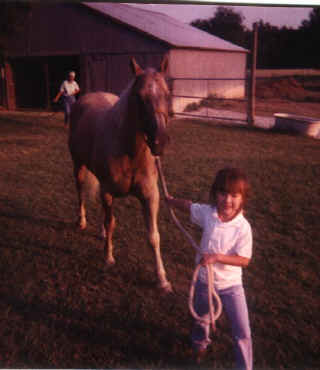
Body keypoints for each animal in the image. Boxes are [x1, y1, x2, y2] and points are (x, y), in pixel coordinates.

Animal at [68, 57, 172, 292]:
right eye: (139, 96)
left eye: (167, 93)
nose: (160, 142)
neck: (130, 153)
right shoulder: (108, 193)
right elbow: (111, 223)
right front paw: (108, 258)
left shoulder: (150, 196)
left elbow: (154, 236)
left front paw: (162, 279)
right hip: (78, 167)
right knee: (80, 193)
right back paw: (82, 221)